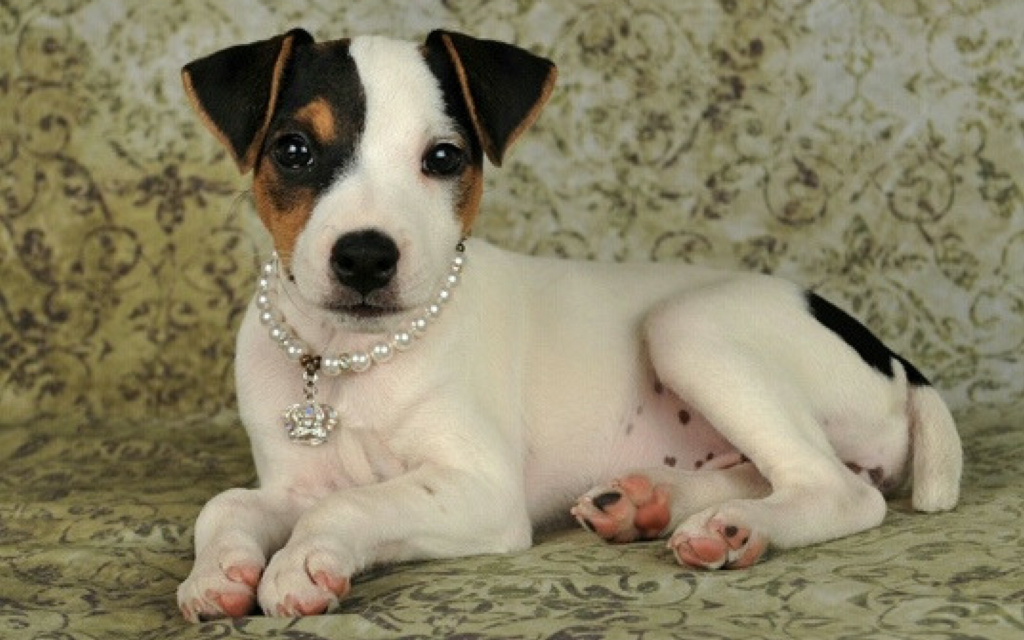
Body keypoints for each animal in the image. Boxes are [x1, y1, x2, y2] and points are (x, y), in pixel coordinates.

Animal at [174, 28, 958, 618]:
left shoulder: (480, 490)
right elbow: (226, 505)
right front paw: (217, 572)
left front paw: (302, 560)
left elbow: (351, 504)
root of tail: (890, 355)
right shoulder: (291, 483)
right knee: (773, 471)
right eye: (293, 150)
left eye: (443, 158)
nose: (365, 257)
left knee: (838, 489)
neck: (345, 362)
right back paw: (646, 504)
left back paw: (736, 529)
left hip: (689, 326)